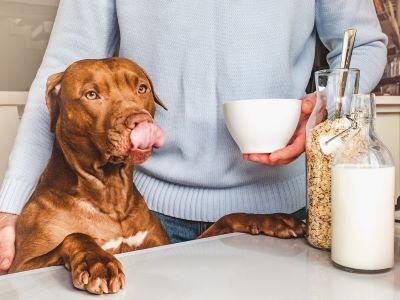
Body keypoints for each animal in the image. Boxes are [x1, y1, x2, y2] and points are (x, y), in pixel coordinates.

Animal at [8, 57, 304, 294]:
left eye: (142, 88)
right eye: (92, 94)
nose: (140, 121)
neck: (111, 191)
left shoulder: (160, 245)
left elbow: (226, 218)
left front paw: (272, 219)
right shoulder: (21, 266)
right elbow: (75, 237)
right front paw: (98, 262)